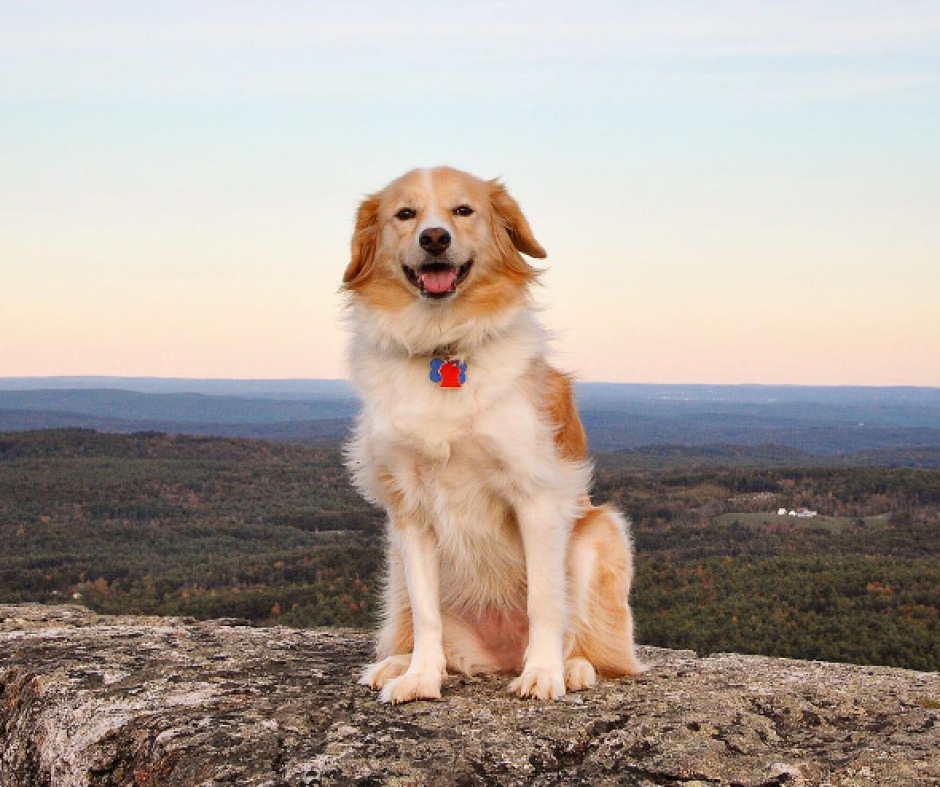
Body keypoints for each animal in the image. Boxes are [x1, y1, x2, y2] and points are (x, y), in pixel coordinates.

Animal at [342, 165, 644, 700]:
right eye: (405, 213)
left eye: (463, 211)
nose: (434, 238)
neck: (442, 344)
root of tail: (499, 656)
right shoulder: (410, 512)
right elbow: (427, 615)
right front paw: (420, 677)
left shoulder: (536, 496)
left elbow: (545, 602)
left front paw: (543, 673)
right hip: (395, 562)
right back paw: (396, 664)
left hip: (598, 534)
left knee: (592, 644)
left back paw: (572, 667)